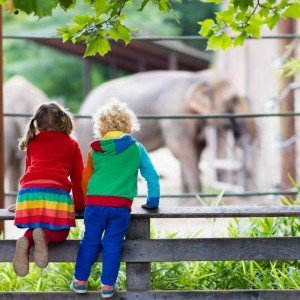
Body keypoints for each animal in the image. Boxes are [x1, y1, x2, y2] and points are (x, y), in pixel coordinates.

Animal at [77, 68, 255, 192]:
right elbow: (181, 149)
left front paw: (188, 197)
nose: (240, 136)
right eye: (233, 100)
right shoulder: (176, 115)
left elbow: (194, 150)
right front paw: (196, 197)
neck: (197, 77)